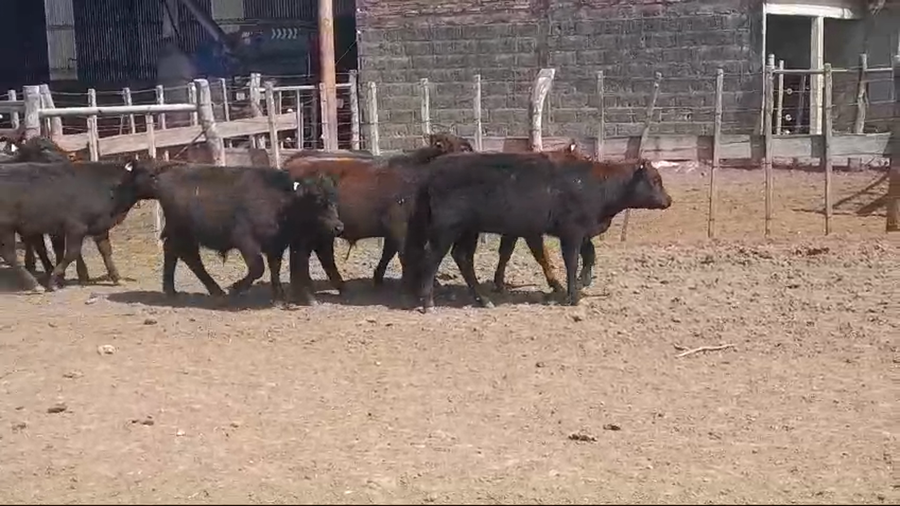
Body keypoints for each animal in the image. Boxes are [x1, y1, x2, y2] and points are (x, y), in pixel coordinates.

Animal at [0, 158, 145, 292]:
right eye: (148, 172)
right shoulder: (76, 227)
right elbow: (72, 253)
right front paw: (55, 281)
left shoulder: (100, 227)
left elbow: (106, 251)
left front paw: (117, 277)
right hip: (6, 228)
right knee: (10, 255)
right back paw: (34, 284)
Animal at [127, 161, 343, 304]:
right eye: (318, 200)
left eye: (333, 199)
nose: (338, 226)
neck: (282, 201)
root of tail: (161, 179)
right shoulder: (245, 242)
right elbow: (258, 268)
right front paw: (237, 288)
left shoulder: (276, 245)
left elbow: (274, 268)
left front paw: (279, 297)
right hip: (183, 233)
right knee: (185, 256)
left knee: (178, 254)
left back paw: (184, 290)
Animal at [282, 132, 473, 303]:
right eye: (461, 150)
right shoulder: (399, 226)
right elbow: (406, 255)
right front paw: (408, 290)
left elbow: (392, 253)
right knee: (307, 254)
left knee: (317, 254)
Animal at [402, 154, 673, 312]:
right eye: (655, 180)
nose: (668, 200)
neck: (598, 185)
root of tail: (433, 172)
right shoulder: (572, 232)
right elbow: (572, 261)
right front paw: (573, 295)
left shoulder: (582, 231)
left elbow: (590, 255)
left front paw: (583, 282)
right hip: (446, 230)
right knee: (433, 258)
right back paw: (427, 302)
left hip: (468, 230)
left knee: (463, 258)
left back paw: (483, 299)